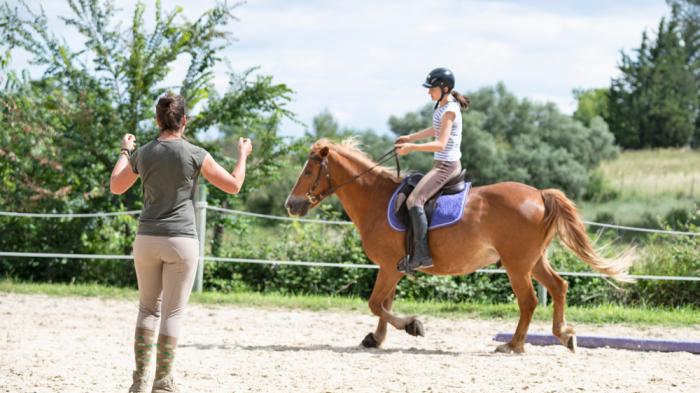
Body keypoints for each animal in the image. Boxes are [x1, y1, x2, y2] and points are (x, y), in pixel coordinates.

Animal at [282, 138, 632, 352]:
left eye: (309, 170)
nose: (291, 205)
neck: (376, 200)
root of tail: (539, 194)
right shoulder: (392, 267)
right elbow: (383, 304)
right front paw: (376, 338)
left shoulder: (389, 267)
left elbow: (376, 303)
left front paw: (413, 326)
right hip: (533, 260)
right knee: (558, 287)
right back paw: (565, 335)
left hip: (517, 264)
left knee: (529, 301)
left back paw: (513, 345)